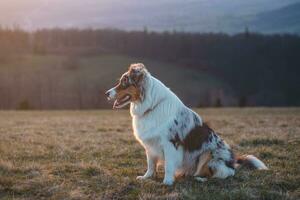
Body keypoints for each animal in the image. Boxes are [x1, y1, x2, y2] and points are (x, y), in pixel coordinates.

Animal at [105, 63, 268, 185]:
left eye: (124, 82)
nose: (106, 93)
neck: (151, 105)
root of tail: (232, 162)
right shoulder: (150, 144)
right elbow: (150, 163)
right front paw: (146, 177)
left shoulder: (171, 143)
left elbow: (169, 165)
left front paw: (167, 182)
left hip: (210, 154)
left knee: (221, 175)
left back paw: (200, 179)